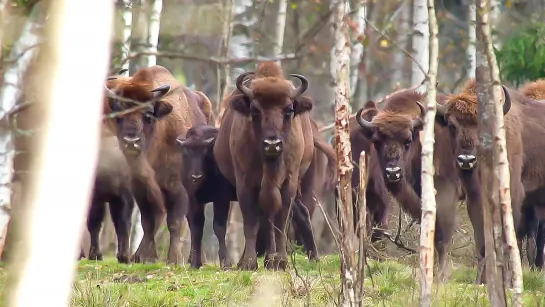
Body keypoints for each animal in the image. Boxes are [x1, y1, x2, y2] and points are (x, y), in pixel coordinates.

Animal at [104, 65, 212, 264]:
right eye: (119, 115)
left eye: (147, 115)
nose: (131, 141)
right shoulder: (140, 186)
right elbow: (148, 221)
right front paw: (147, 257)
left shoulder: (177, 185)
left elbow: (175, 222)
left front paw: (174, 259)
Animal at [212, 61, 314, 270]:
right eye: (255, 110)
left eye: (289, 110)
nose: (272, 144)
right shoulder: (245, 184)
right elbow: (251, 222)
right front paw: (249, 263)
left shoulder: (289, 183)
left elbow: (280, 222)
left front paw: (281, 261)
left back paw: (272, 258)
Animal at [354, 89, 462, 282]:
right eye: (376, 141)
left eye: (408, 141)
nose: (393, 172)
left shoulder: (446, 196)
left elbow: (442, 236)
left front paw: (441, 276)